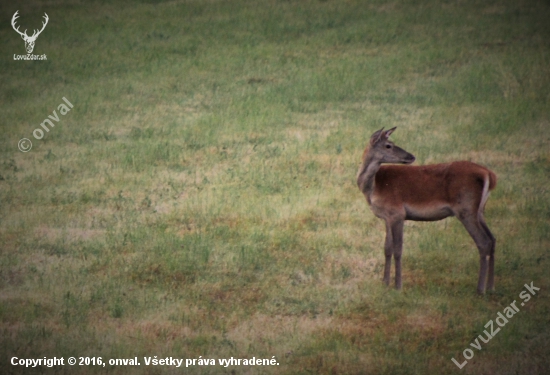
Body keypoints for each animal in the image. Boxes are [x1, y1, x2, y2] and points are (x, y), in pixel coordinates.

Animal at [360, 128, 498, 296]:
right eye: (388, 145)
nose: (411, 156)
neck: (373, 188)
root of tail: (489, 175)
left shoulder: (397, 213)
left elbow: (398, 249)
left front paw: (398, 286)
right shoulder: (387, 217)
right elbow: (387, 248)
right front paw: (385, 283)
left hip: (466, 208)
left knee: (483, 242)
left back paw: (480, 289)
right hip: (479, 211)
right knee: (492, 239)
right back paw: (491, 286)